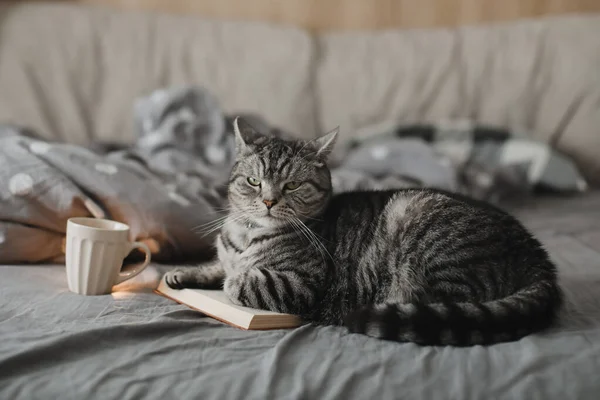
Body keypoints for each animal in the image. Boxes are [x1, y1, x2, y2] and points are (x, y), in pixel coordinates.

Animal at [165, 116, 564, 346]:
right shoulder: (227, 254)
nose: (268, 201)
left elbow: (239, 281)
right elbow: (216, 266)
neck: (246, 233)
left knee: (446, 301)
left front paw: (231, 278)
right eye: (253, 181)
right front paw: (182, 273)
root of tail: (538, 257)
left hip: (423, 229)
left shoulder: (298, 283)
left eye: (292, 185)